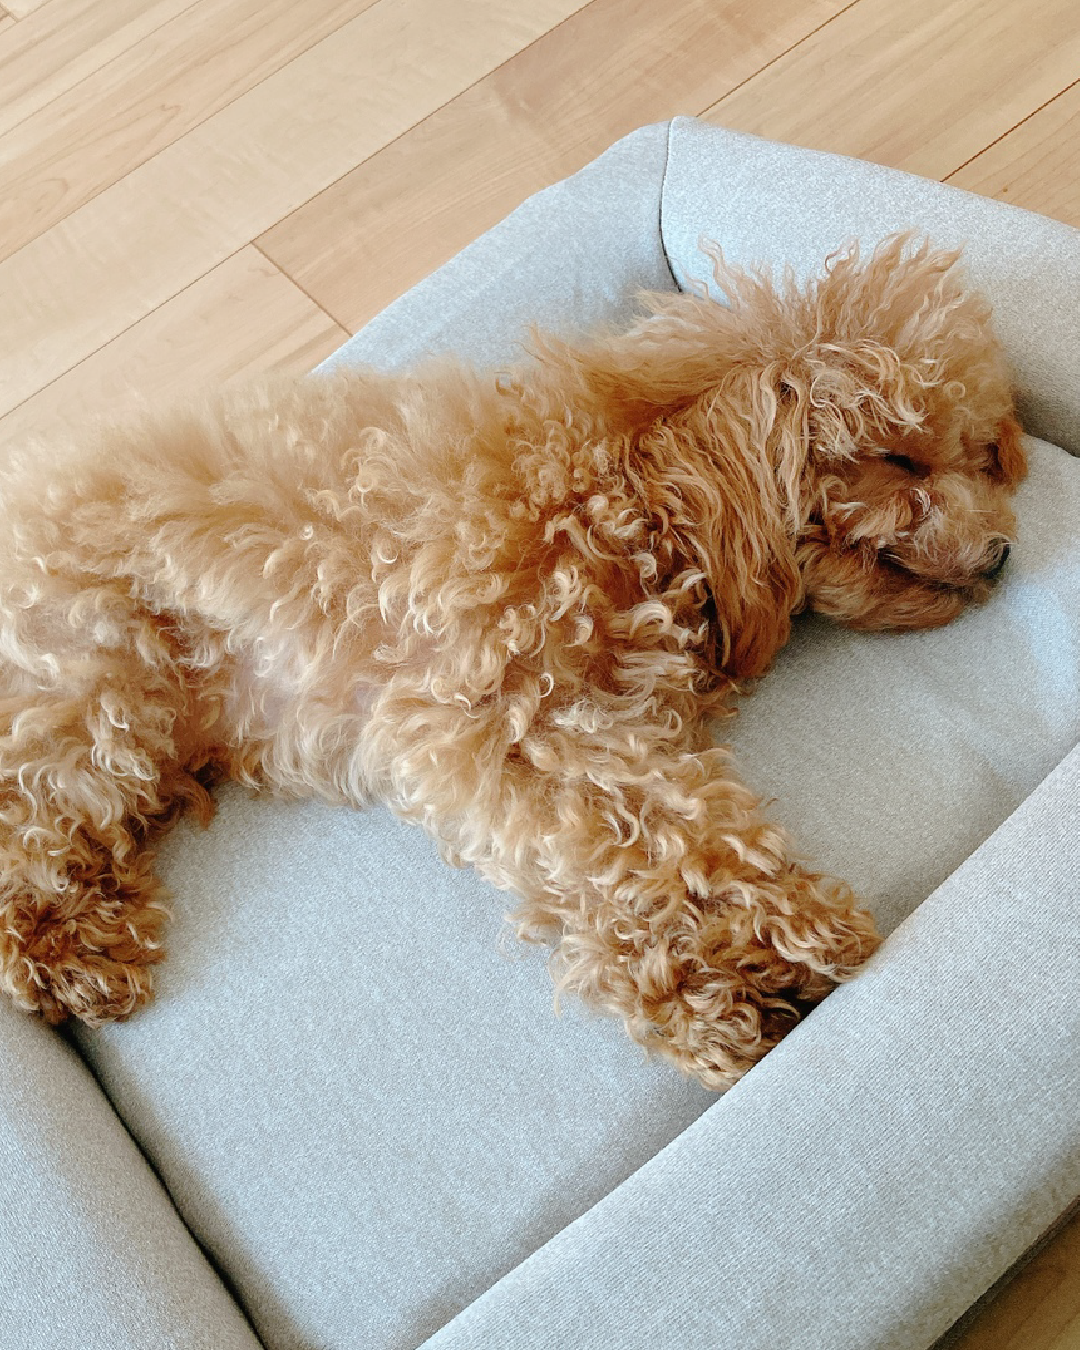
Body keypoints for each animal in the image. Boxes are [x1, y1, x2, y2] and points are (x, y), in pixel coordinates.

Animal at [0, 237, 1026, 1090]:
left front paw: (724, 980)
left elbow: (650, 837)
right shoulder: (494, 719)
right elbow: (659, 841)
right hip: (94, 689)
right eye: (900, 460)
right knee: (29, 834)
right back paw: (72, 955)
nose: (1005, 555)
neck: (621, 494)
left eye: (981, 456)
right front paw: (768, 961)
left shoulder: (582, 723)